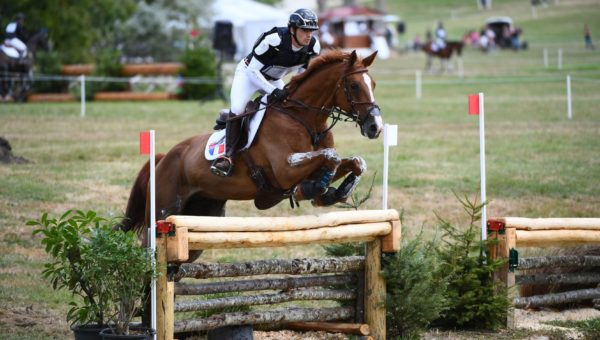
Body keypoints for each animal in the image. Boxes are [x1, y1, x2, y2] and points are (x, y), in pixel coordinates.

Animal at [120, 49, 384, 247]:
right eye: (354, 86)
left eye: (373, 84)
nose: (375, 127)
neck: (304, 120)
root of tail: (164, 157)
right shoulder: (286, 170)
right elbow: (331, 156)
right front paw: (318, 189)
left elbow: (355, 162)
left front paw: (336, 192)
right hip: (162, 213)